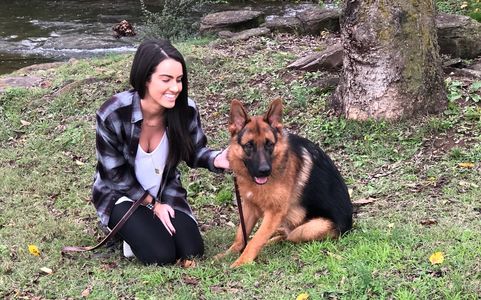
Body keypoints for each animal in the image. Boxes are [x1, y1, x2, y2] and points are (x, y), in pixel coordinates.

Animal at [218, 99, 352, 268]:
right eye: (249, 145)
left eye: (269, 144)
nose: (264, 171)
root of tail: (350, 226)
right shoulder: (249, 206)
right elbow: (241, 235)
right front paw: (228, 253)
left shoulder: (274, 213)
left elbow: (256, 240)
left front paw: (242, 262)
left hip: (307, 229)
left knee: (288, 237)